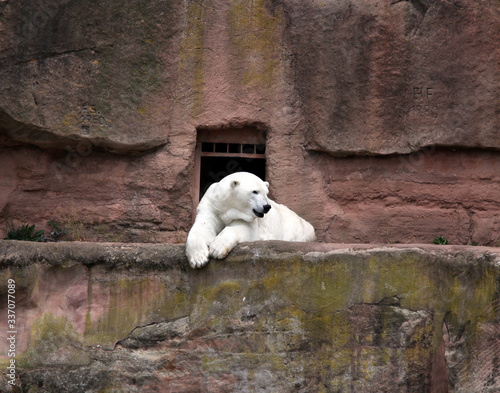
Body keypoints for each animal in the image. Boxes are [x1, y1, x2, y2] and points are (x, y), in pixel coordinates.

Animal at [186, 171, 314, 266]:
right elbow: (203, 226)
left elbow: (244, 228)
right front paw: (198, 259)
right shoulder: (212, 205)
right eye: (255, 191)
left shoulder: (250, 218)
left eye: (266, 193)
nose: (266, 206)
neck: (228, 206)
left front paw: (216, 249)